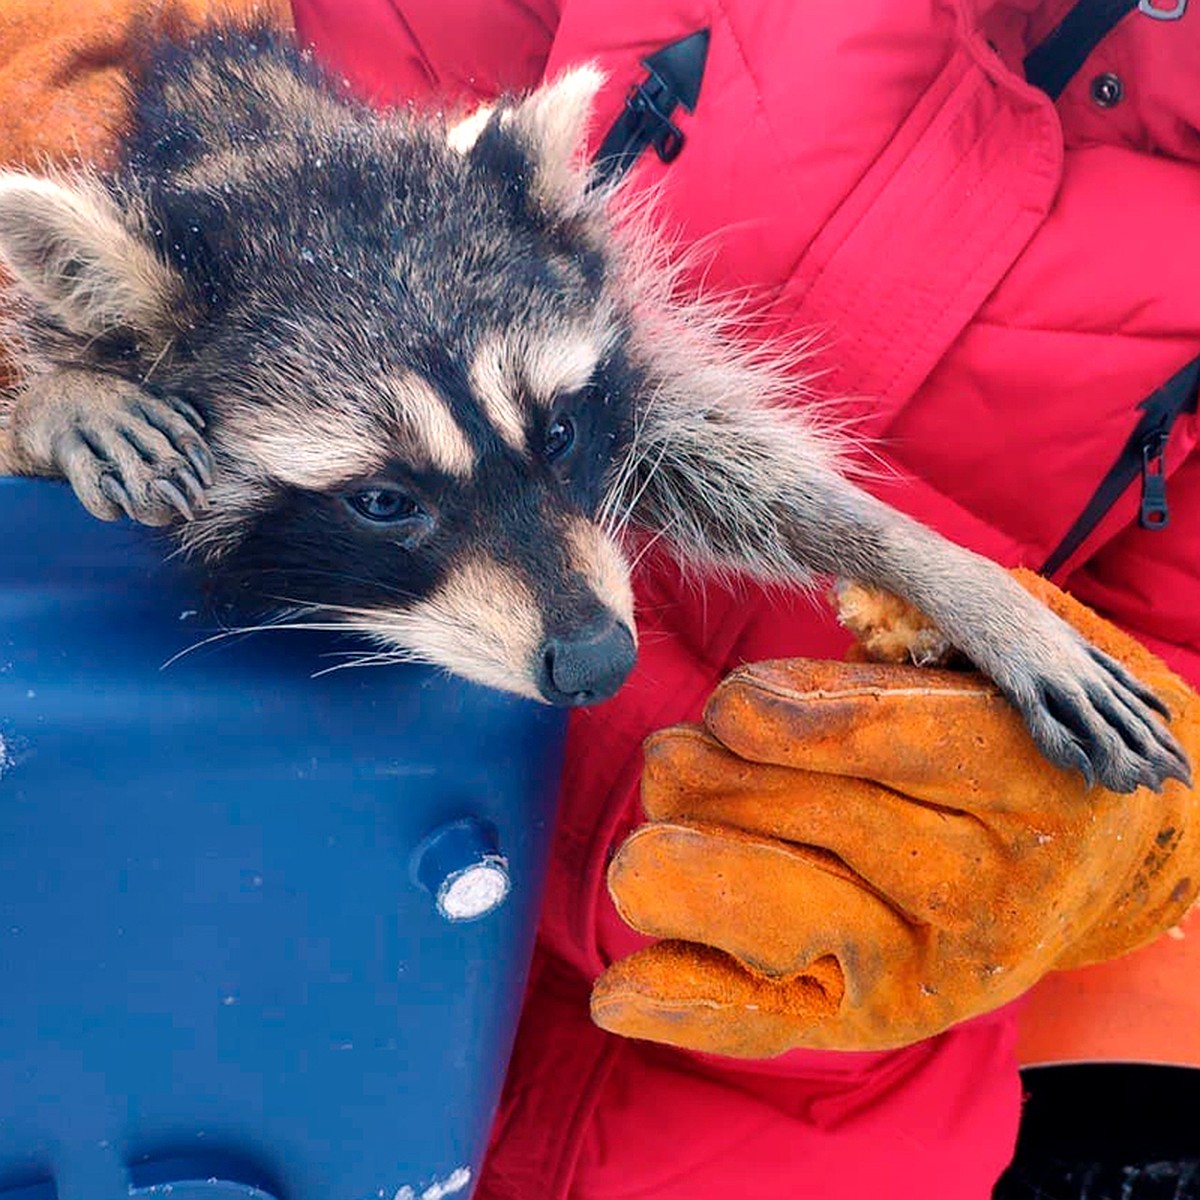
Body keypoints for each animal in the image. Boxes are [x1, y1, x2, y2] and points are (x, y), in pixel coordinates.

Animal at [0, 23, 1185, 792]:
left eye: (560, 434)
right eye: (383, 502)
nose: (599, 663)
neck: (267, 149)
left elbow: (713, 458)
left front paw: (947, 573)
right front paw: (59, 394)